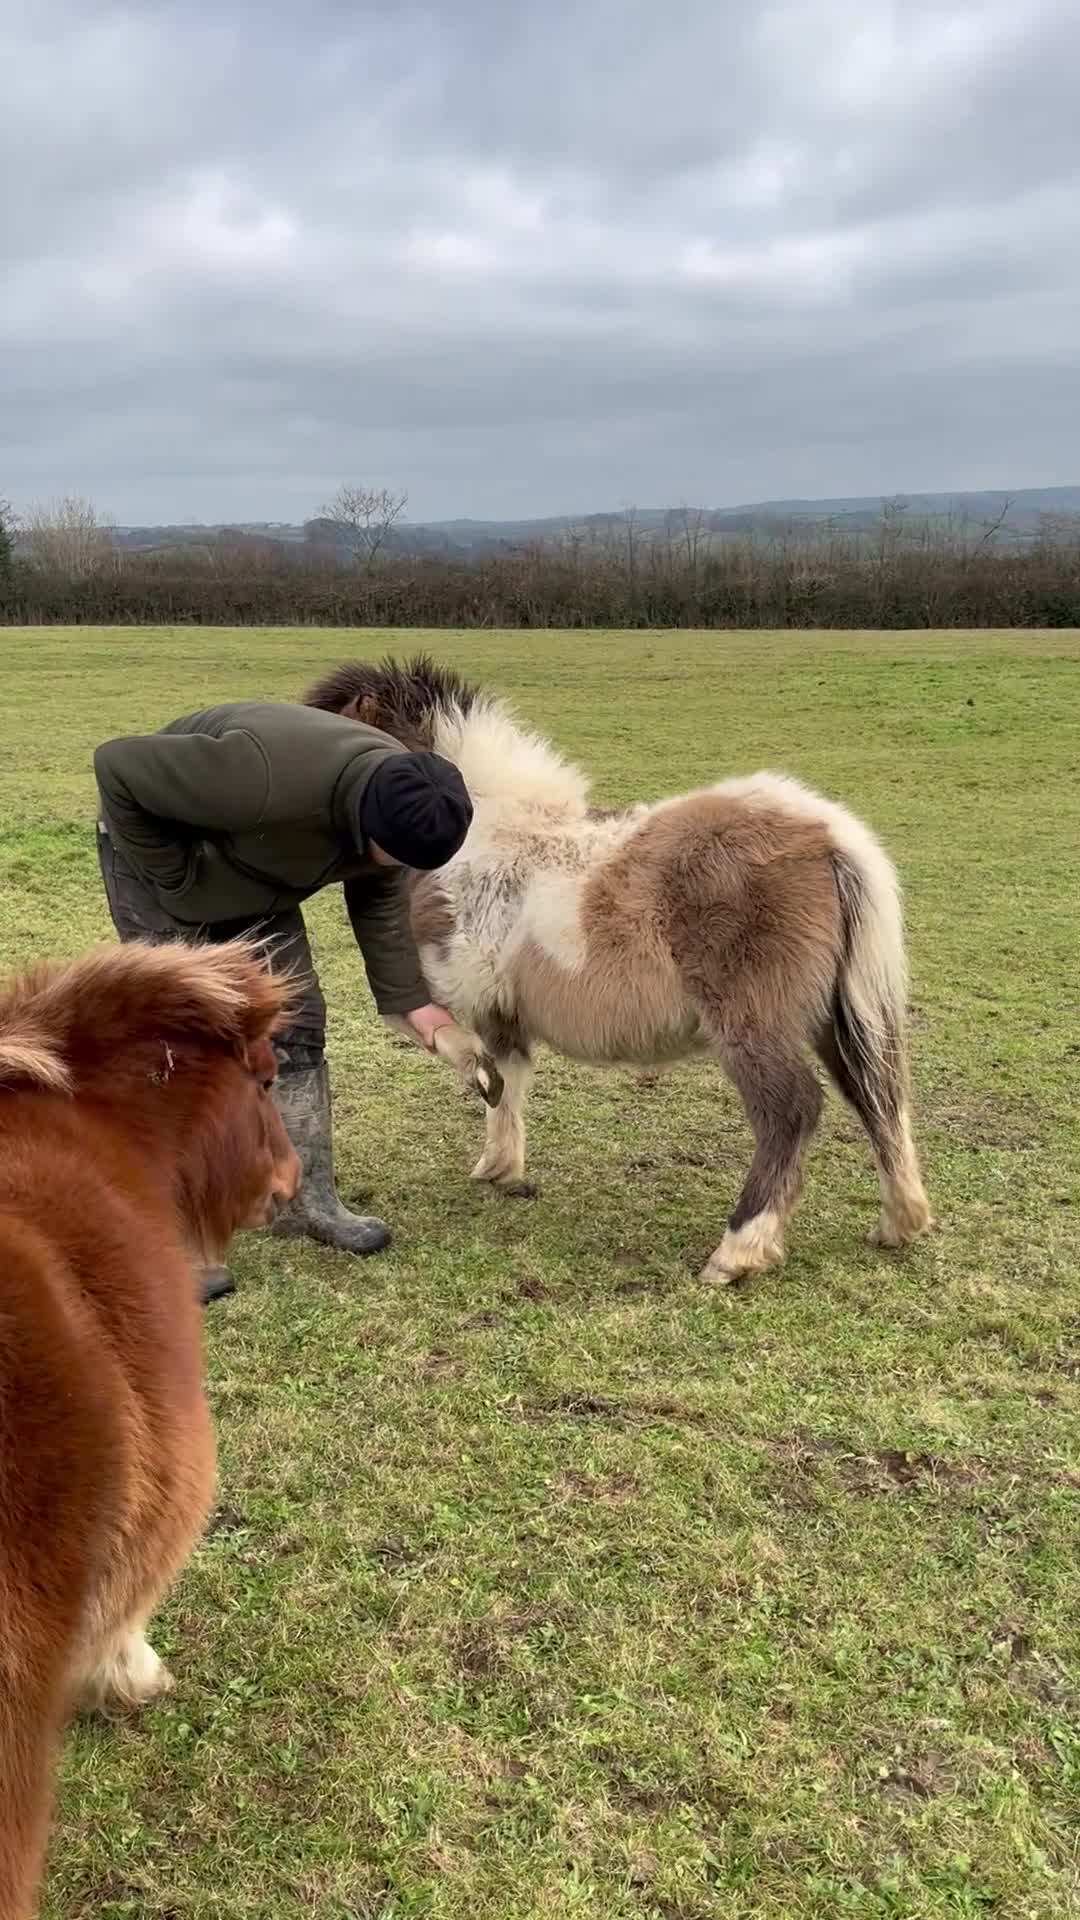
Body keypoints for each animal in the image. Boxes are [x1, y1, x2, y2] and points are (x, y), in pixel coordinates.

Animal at [306, 654, 933, 1284]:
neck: (481, 834)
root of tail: (828, 834)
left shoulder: (463, 992)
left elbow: (459, 1051)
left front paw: (485, 1123)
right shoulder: (504, 1012)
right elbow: (509, 1080)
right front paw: (499, 1167)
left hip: (754, 1026)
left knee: (794, 1109)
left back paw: (736, 1251)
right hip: (835, 1018)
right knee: (877, 1093)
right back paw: (899, 1221)